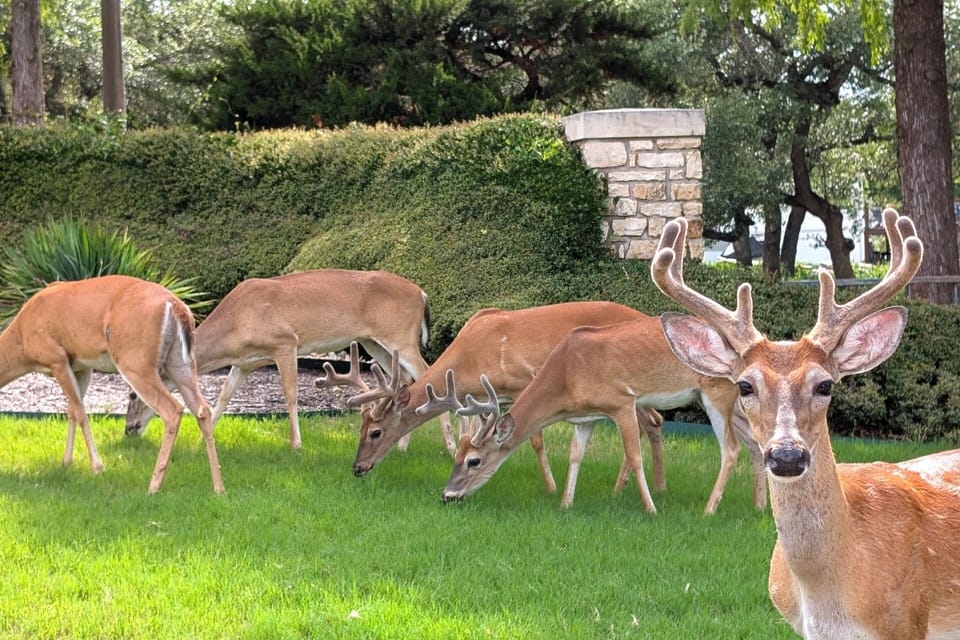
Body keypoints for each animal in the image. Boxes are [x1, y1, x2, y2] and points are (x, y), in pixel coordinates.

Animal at [0, 275, 223, 493]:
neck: (22, 339)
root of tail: (176, 306)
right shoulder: (81, 366)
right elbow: (72, 411)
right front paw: (66, 462)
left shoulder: (57, 358)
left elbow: (80, 413)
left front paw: (98, 467)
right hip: (180, 361)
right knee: (202, 409)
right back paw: (218, 487)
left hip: (135, 360)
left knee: (173, 409)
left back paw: (153, 486)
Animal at [125, 269, 451, 452]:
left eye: (133, 394)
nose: (129, 430)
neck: (237, 321)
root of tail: (422, 294)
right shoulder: (244, 363)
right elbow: (224, 396)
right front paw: (201, 439)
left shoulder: (285, 342)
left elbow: (290, 394)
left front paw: (296, 444)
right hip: (375, 342)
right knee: (405, 380)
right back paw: (403, 444)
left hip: (401, 337)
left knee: (428, 372)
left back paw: (449, 445)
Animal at [314, 301, 663, 496]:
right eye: (359, 430)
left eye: (375, 432)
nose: (358, 468)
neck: (468, 360)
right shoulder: (476, 398)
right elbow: (468, 434)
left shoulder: (521, 383)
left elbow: (535, 440)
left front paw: (550, 488)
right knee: (654, 421)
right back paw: (647, 486)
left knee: (647, 422)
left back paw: (631, 487)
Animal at [431, 313, 765, 514]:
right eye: (455, 456)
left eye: (474, 461)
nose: (447, 495)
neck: (567, 376)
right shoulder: (586, 418)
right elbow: (575, 455)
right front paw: (565, 503)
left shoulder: (622, 400)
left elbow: (634, 455)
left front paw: (651, 508)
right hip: (733, 403)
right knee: (755, 444)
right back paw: (759, 506)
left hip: (716, 393)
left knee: (731, 448)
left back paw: (709, 509)